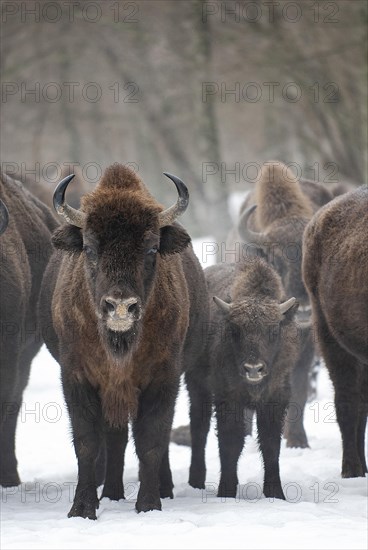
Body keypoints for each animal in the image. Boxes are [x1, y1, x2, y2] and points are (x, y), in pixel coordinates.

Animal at [40, 162, 208, 520]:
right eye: (90, 248)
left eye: (152, 248)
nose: (120, 306)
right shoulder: (78, 377)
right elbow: (87, 442)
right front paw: (82, 509)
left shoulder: (163, 378)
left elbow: (152, 441)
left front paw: (149, 504)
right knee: (115, 437)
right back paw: (112, 493)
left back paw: (161, 489)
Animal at [187, 258, 300, 500]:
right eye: (235, 330)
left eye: (273, 330)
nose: (253, 369)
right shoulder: (228, 400)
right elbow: (231, 442)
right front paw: (226, 491)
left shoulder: (275, 401)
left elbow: (270, 444)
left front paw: (276, 494)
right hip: (196, 386)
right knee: (199, 427)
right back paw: (196, 481)